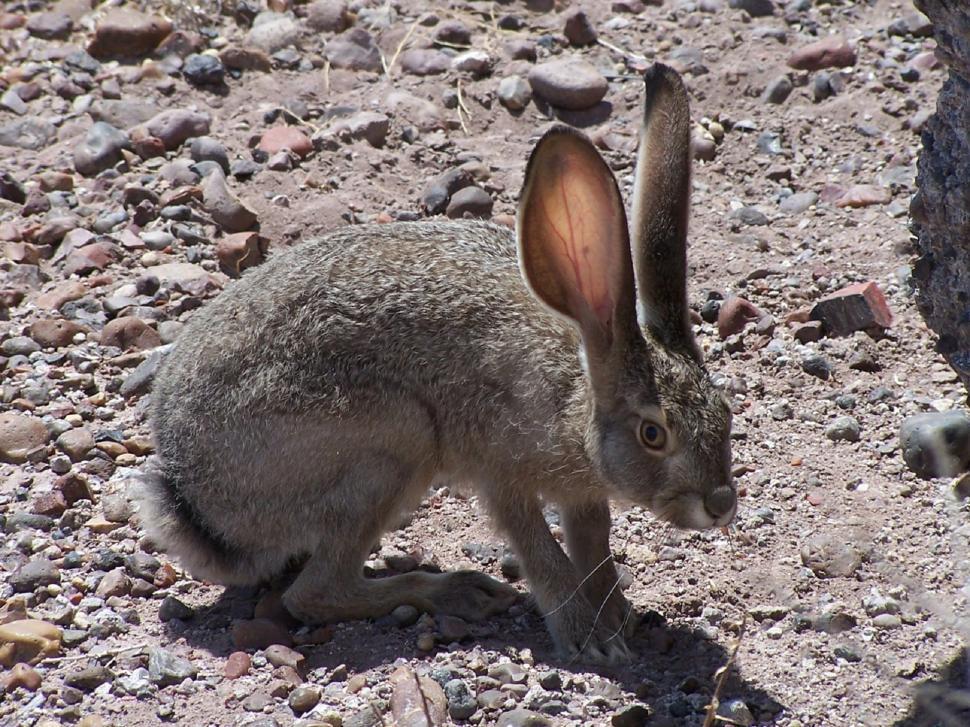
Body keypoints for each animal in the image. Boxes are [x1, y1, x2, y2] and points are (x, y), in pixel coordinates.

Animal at [138, 62, 736, 665]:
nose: (721, 505)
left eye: (726, 415)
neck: (576, 392)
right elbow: (540, 550)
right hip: (394, 441)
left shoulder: (584, 493)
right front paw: (588, 639)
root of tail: (196, 501)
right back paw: (461, 592)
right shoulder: (501, 470)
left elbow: (595, 545)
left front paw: (618, 619)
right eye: (653, 433)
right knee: (314, 593)